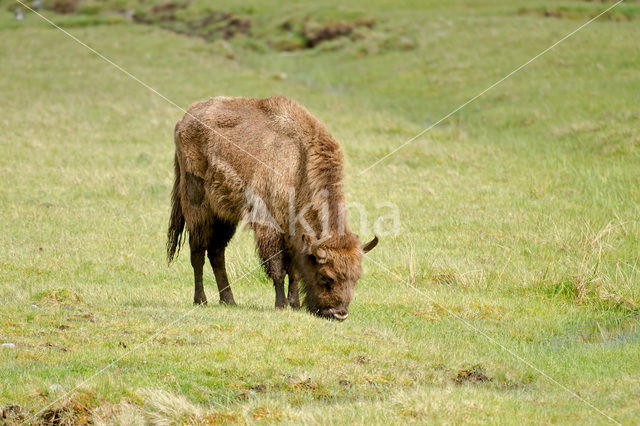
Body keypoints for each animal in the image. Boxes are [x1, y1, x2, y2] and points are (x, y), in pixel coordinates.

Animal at [168, 95, 378, 318]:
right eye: (325, 276)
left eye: (356, 278)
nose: (339, 314)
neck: (299, 165)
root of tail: (183, 120)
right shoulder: (269, 226)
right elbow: (277, 266)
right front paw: (281, 304)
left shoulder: (293, 233)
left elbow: (294, 270)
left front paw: (294, 304)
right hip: (198, 208)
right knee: (198, 252)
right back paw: (201, 300)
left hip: (224, 215)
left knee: (216, 253)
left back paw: (229, 300)